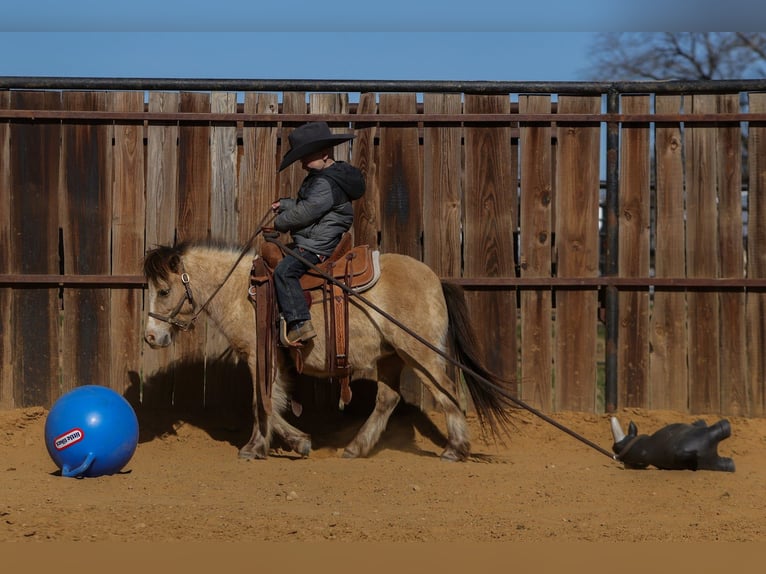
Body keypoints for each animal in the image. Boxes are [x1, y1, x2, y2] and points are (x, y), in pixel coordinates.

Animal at [143, 240, 516, 461]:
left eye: (164, 291)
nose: (150, 337)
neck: (242, 291)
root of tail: (436, 280)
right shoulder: (273, 359)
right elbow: (269, 401)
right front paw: (268, 444)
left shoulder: (257, 355)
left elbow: (261, 401)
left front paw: (275, 445)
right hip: (392, 357)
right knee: (388, 399)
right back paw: (356, 447)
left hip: (420, 353)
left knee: (448, 392)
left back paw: (456, 448)